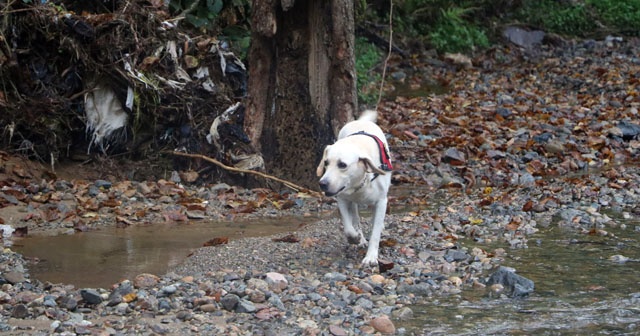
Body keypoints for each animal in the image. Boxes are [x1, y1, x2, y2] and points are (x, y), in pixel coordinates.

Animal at [316, 109, 392, 266]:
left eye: (342, 165)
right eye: (326, 162)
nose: (322, 183)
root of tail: (361, 121)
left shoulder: (381, 201)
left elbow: (375, 232)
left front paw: (371, 257)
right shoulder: (342, 198)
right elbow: (348, 226)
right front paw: (355, 238)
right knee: (356, 218)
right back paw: (360, 238)